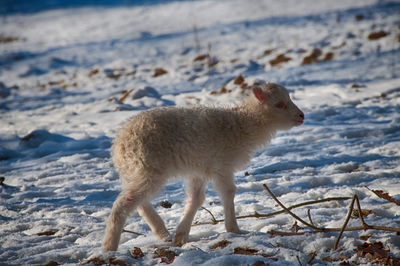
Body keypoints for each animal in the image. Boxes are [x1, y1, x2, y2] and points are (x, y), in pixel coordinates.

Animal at [102, 82, 304, 250]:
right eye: (279, 104)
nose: (301, 116)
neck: (243, 125)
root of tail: (119, 145)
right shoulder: (222, 165)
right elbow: (228, 192)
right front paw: (234, 230)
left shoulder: (199, 169)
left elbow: (196, 198)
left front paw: (181, 235)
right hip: (148, 167)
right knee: (124, 203)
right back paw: (109, 247)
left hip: (136, 171)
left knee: (138, 201)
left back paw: (162, 232)